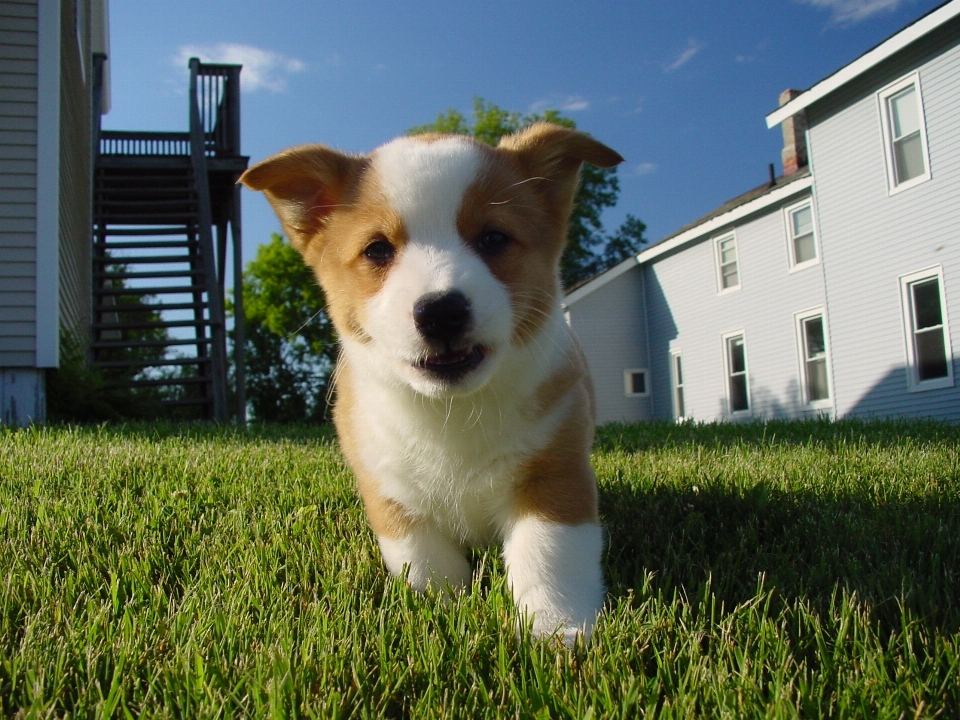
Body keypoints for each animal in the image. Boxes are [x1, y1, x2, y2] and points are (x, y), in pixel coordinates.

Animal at [242, 122, 624, 640]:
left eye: (493, 238)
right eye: (378, 249)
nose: (441, 311)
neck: (452, 411)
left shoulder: (555, 474)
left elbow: (550, 557)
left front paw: (558, 631)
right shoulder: (391, 492)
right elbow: (426, 565)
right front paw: (444, 615)